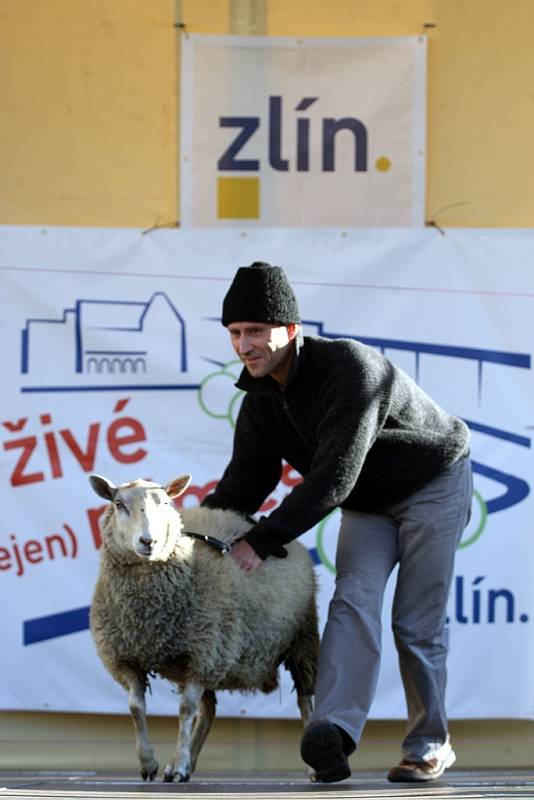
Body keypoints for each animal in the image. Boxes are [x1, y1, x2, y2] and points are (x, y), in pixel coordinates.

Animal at [89, 476, 320, 780]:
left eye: (166, 503)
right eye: (118, 504)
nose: (148, 541)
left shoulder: (203, 655)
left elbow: (185, 711)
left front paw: (176, 763)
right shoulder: (127, 657)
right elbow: (136, 709)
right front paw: (149, 763)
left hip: (300, 642)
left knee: (305, 700)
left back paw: (316, 762)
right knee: (208, 712)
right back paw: (190, 761)